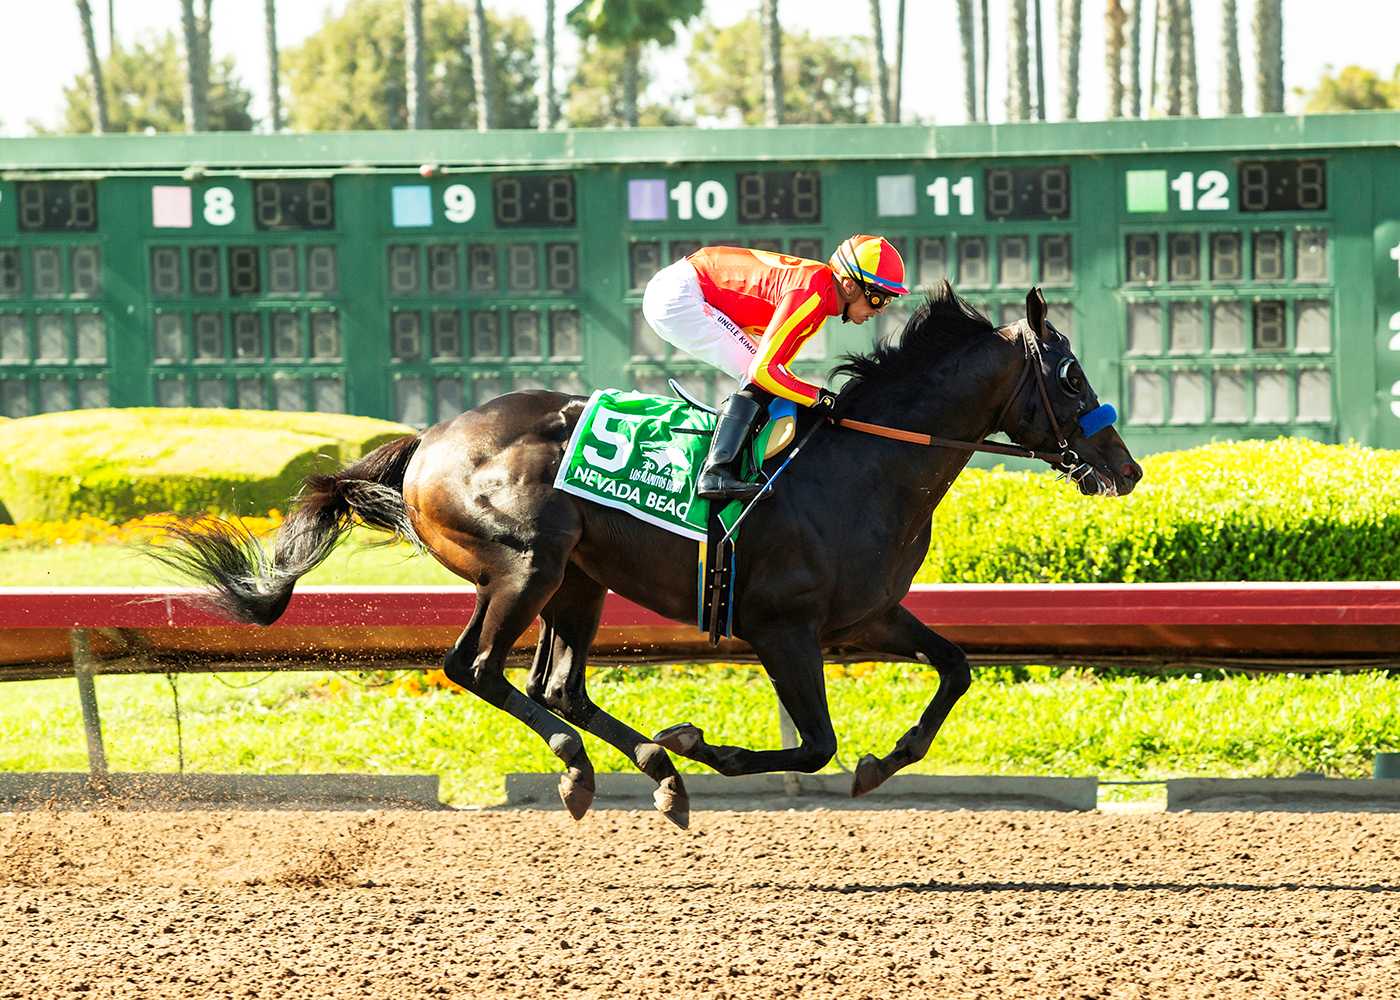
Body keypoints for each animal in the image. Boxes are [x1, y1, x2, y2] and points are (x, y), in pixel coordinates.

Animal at [154, 282, 1141, 829]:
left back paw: (652, 775)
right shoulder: (783, 627)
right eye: (1069, 376)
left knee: (555, 684)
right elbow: (813, 742)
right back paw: (604, 766)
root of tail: (429, 439)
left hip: (576, 582)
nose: (1126, 467)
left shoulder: (867, 614)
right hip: (527, 564)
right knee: (476, 668)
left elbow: (955, 670)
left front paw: (882, 761)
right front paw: (703, 743)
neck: (866, 462)